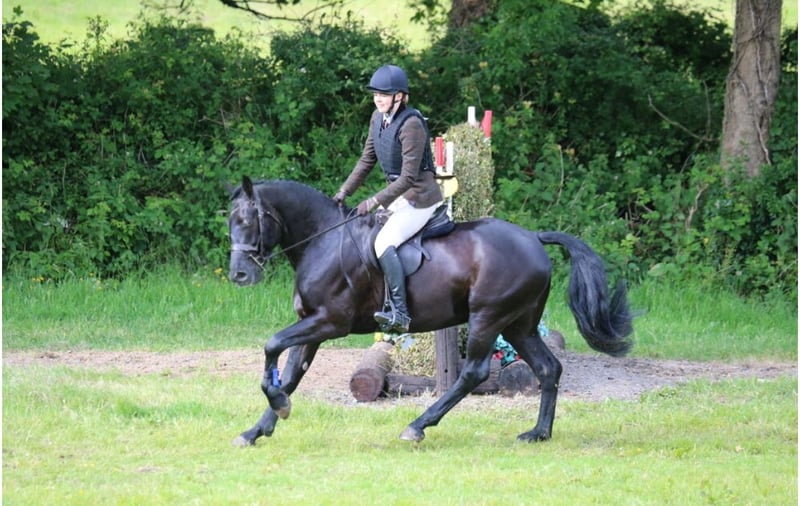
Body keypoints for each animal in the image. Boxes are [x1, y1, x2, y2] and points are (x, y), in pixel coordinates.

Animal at [227, 176, 634, 447]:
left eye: (246, 220)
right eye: (230, 221)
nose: (239, 275)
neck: (323, 240)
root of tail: (533, 238)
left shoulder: (329, 323)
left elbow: (271, 346)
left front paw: (277, 408)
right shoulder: (310, 323)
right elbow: (290, 374)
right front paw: (257, 429)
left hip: (488, 317)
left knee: (473, 373)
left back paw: (417, 426)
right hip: (519, 325)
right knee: (548, 368)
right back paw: (538, 433)